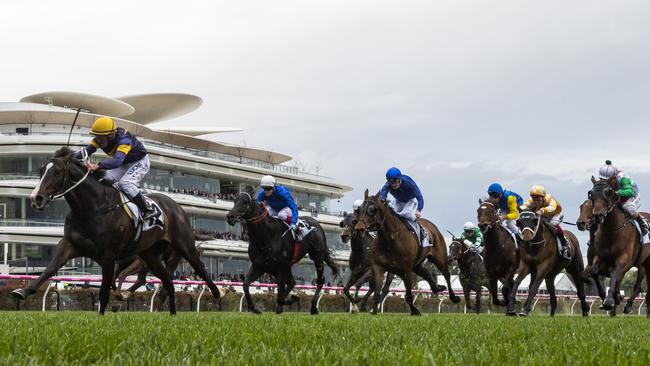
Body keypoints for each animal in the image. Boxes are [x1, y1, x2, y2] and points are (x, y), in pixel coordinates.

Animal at [9, 147, 220, 314]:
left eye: (57, 171)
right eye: (41, 170)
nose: (35, 198)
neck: (92, 208)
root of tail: (175, 206)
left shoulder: (109, 257)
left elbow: (104, 291)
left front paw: (102, 316)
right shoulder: (69, 244)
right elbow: (50, 269)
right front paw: (23, 291)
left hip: (182, 244)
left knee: (199, 266)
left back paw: (217, 293)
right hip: (149, 254)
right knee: (167, 282)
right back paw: (173, 314)